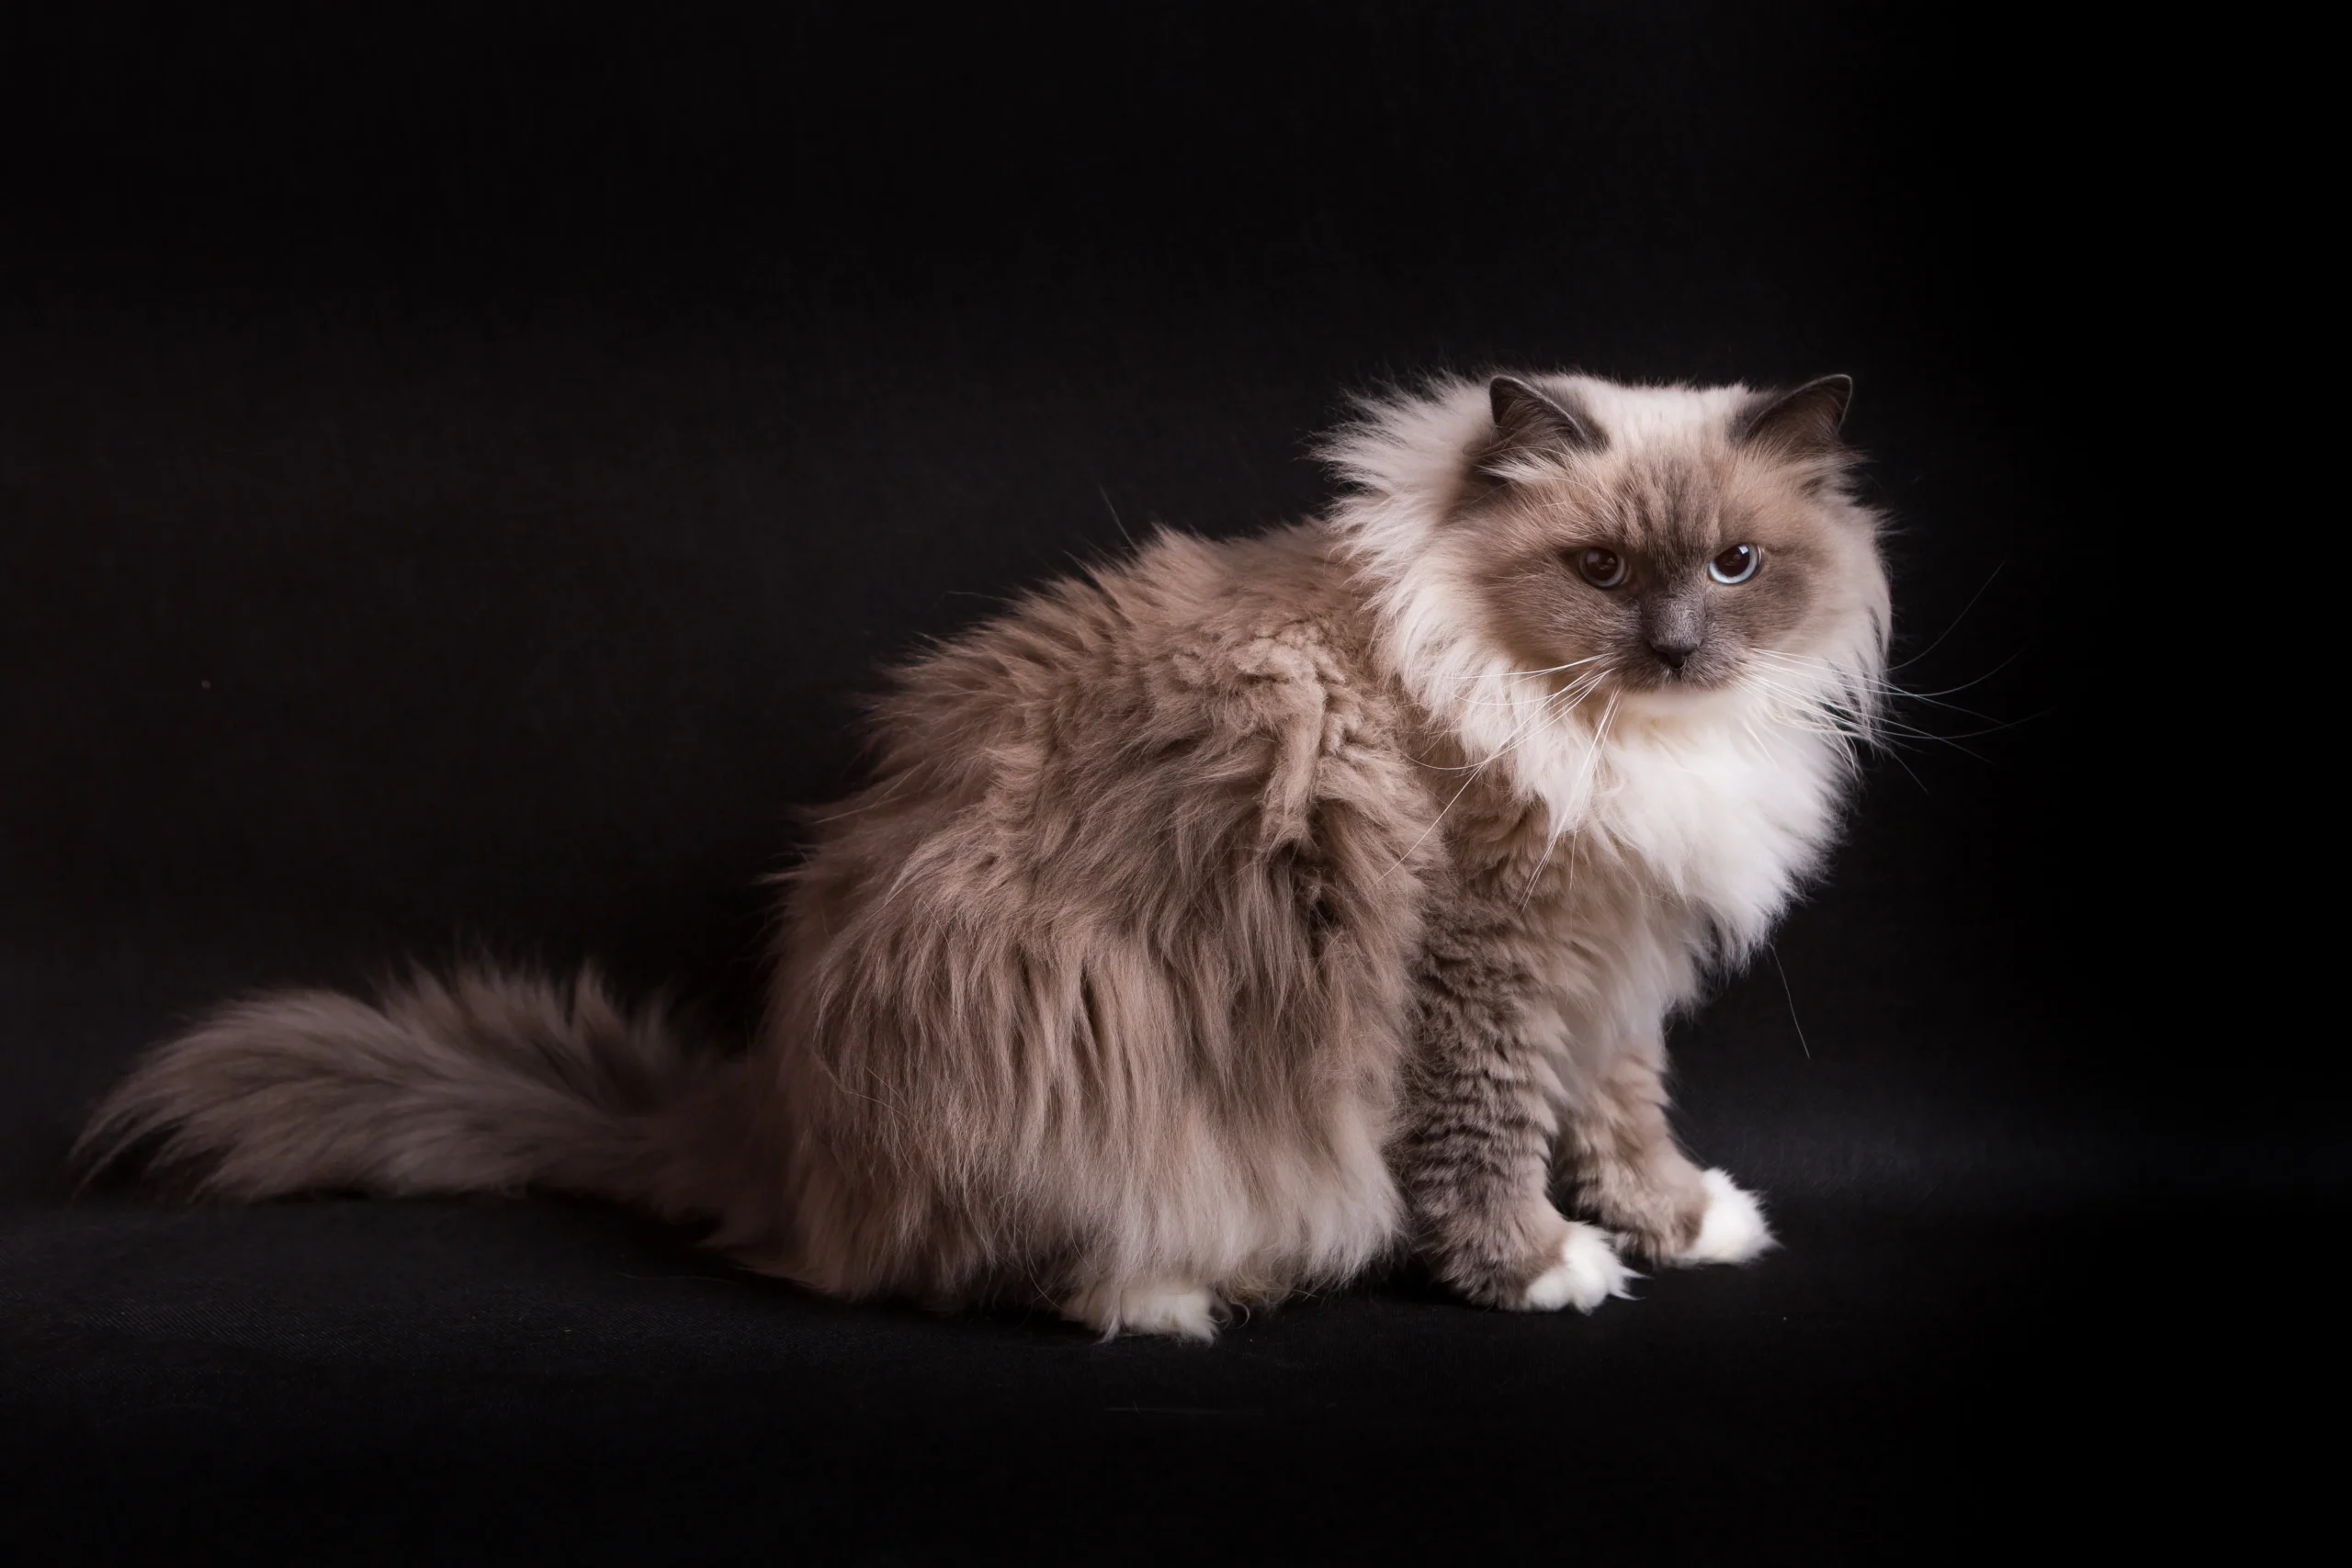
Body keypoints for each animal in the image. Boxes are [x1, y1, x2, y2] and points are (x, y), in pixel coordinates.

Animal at [74, 368, 1891, 1335]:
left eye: (1736, 565)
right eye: (1600, 569)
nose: (1674, 644)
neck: (1620, 744)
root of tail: (769, 1118)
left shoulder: (1613, 959)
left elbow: (1625, 1112)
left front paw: (1680, 1218)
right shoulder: (1491, 963)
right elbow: (1492, 1137)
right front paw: (1540, 1266)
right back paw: (1175, 1295)